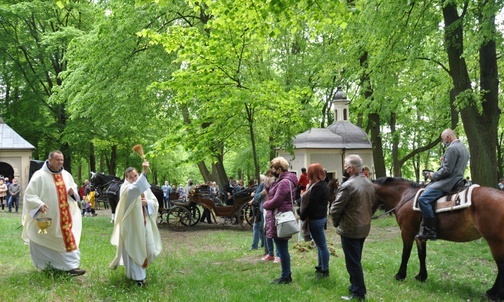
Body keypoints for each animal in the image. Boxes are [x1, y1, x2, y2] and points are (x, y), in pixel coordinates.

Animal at [372, 176, 504, 300]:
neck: (404, 196)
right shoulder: (419, 236)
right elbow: (422, 255)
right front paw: (421, 276)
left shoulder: (407, 232)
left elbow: (405, 254)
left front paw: (400, 275)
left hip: (495, 242)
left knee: (501, 265)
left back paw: (495, 294)